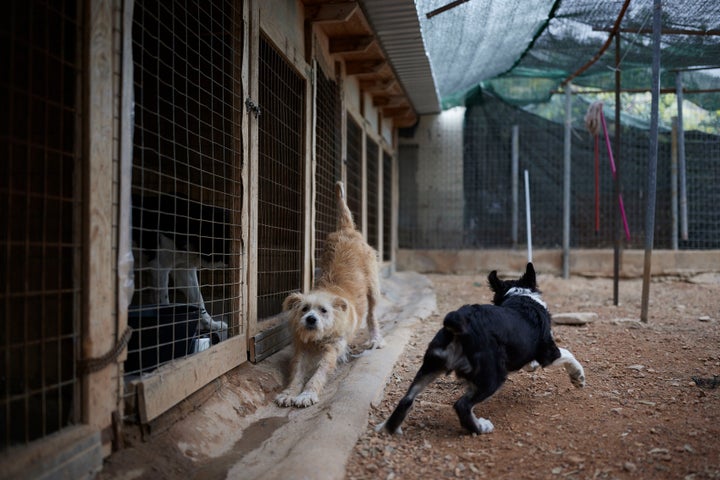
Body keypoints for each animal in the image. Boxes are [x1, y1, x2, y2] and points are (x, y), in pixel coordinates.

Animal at [376, 262, 584, 436]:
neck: (519, 296)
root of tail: (461, 322)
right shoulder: (548, 352)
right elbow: (568, 354)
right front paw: (578, 378)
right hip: (492, 376)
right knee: (462, 405)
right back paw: (480, 427)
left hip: (431, 365)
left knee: (407, 399)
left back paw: (388, 428)